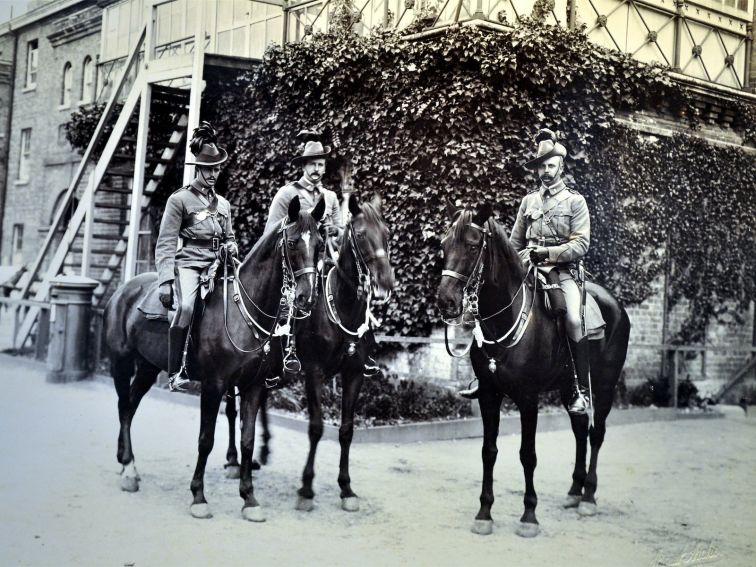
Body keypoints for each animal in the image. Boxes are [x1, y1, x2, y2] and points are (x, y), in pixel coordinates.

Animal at [104, 197, 324, 520]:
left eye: (320, 244)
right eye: (293, 242)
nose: (307, 298)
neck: (244, 311)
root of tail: (122, 290)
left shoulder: (253, 387)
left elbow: (247, 440)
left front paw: (249, 498)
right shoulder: (213, 385)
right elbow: (205, 441)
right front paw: (198, 496)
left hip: (147, 368)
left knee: (130, 406)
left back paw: (124, 461)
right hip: (121, 362)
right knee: (122, 406)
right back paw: (129, 468)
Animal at [254, 195, 396, 516]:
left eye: (386, 233)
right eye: (360, 235)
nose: (384, 284)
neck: (342, 308)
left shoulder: (354, 375)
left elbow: (346, 430)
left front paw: (346, 488)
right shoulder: (314, 373)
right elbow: (317, 428)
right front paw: (306, 489)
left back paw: (263, 449)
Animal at [434, 202, 628, 540]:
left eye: (472, 245)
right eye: (444, 246)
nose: (446, 302)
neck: (506, 317)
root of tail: (615, 304)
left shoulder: (528, 399)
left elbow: (528, 454)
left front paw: (529, 516)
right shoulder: (489, 394)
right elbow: (489, 450)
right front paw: (484, 513)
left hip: (605, 385)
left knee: (596, 433)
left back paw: (588, 497)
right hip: (568, 388)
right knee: (580, 429)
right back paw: (574, 491)